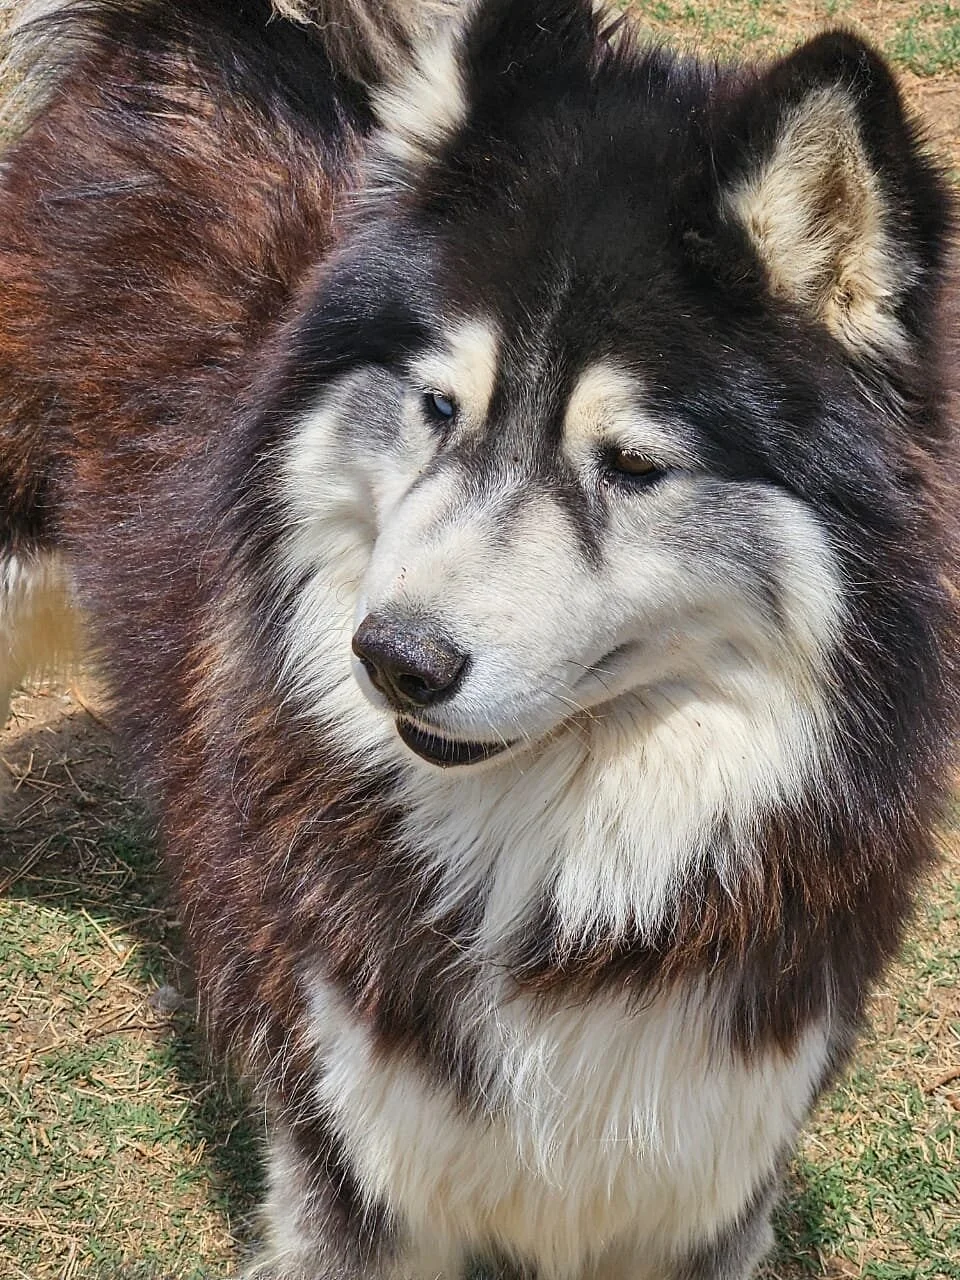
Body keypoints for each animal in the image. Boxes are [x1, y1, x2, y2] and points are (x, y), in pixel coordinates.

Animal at [0, 1, 957, 1278]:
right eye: (439, 407)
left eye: (633, 464)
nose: (393, 659)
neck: (560, 874)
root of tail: (186, 34)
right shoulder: (354, 1173)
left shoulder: (703, 1182)